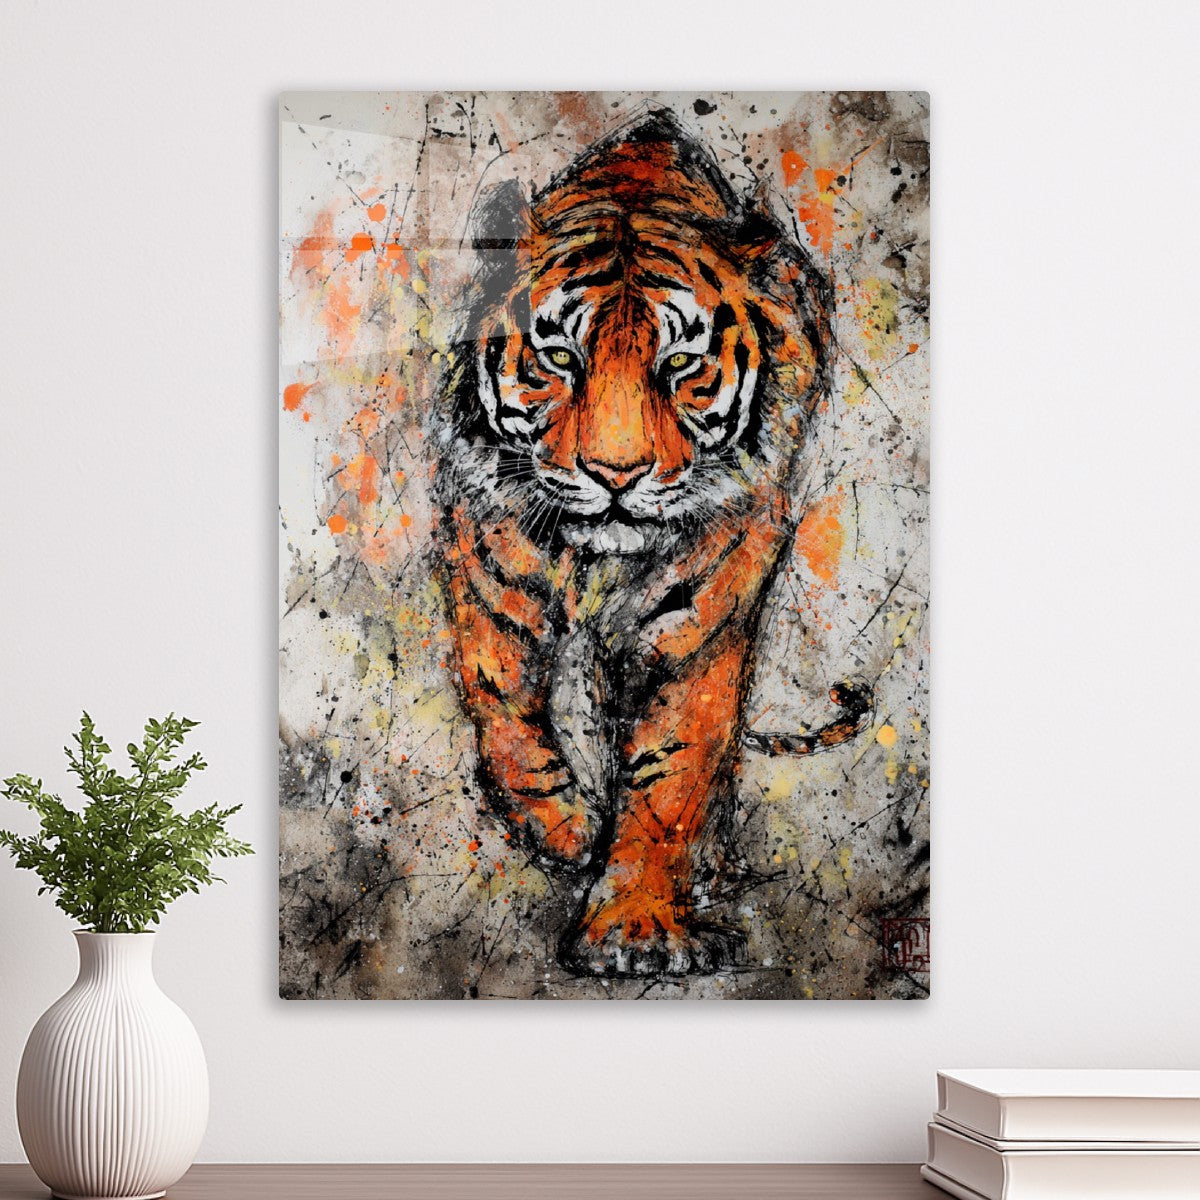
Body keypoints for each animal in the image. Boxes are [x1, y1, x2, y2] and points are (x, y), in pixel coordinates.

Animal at [432, 109, 871, 979]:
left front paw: (631, 927)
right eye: (559, 357)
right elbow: (502, 704)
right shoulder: (487, 554)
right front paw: (568, 830)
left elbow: (673, 763)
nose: (616, 473)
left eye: (681, 364)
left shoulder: (701, 610)